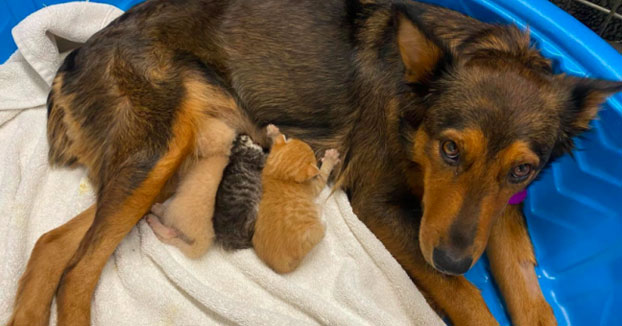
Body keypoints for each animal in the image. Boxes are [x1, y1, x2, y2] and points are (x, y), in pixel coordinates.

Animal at [254, 126, 342, 274]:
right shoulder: (314, 186)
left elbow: (274, 146)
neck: (279, 177)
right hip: (316, 231)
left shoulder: (269, 161)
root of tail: (280, 265)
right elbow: (323, 175)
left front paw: (273, 132)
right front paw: (330, 159)